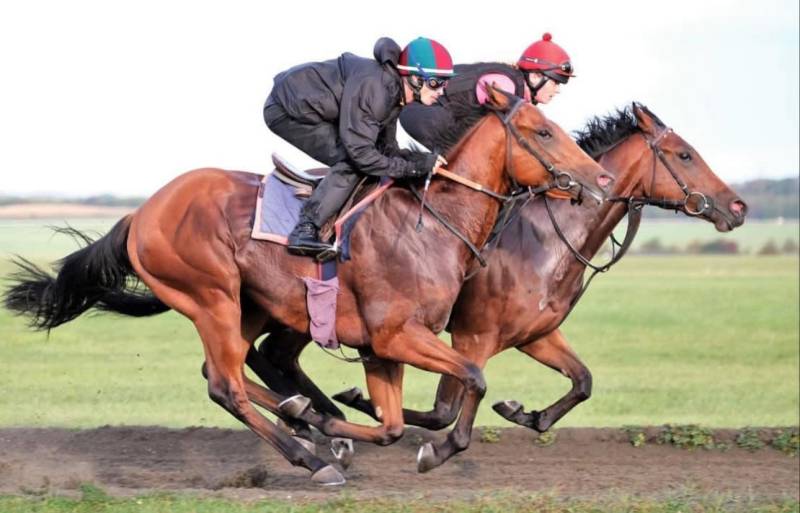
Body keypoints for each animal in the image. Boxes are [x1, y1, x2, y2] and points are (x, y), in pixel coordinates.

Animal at [1, 87, 612, 484]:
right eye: (542, 132)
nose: (601, 178)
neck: (434, 222)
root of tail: (143, 212)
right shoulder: (400, 336)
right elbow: (474, 381)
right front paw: (428, 451)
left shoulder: (381, 347)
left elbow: (392, 426)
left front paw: (332, 422)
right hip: (211, 297)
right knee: (225, 385)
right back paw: (312, 460)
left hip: (249, 307)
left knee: (233, 373)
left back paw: (306, 422)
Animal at [328, 102, 748, 454]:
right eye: (685, 154)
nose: (738, 206)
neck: (549, 240)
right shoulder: (472, 335)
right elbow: (443, 410)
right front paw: (356, 402)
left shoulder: (535, 333)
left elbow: (583, 381)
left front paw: (525, 413)